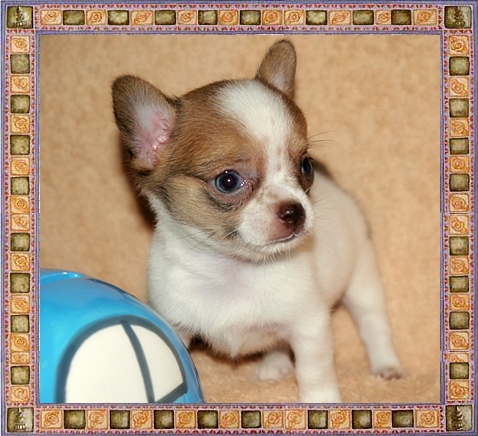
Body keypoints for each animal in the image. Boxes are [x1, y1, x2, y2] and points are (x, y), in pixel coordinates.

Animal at [112, 40, 403, 403]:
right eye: (228, 181)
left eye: (306, 166)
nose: (295, 210)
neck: (234, 270)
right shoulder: (175, 324)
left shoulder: (310, 328)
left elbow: (315, 371)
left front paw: (322, 401)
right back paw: (274, 364)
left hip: (362, 280)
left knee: (373, 324)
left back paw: (385, 365)